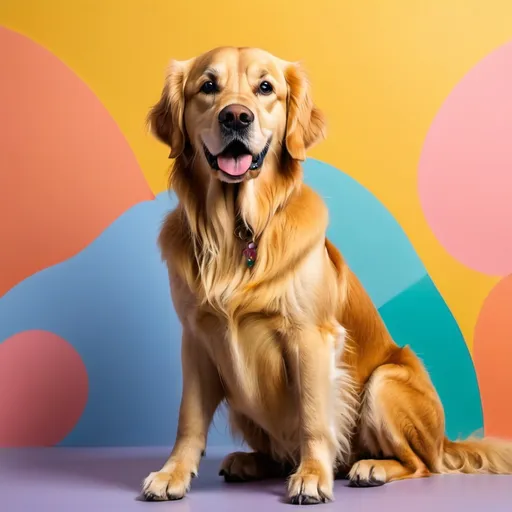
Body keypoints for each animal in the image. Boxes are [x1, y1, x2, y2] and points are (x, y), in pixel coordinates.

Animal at [141, 47, 512, 504]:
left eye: (266, 87)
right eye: (208, 86)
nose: (236, 117)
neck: (237, 231)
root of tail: (445, 442)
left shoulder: (310, 337)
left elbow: (314, 417)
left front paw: (313, 476)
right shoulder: (196, 338)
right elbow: (189, 420)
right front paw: (173, 473)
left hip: (384, 382)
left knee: (422, 464)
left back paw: (371, 466)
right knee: (279, 453)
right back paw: (250, 461)